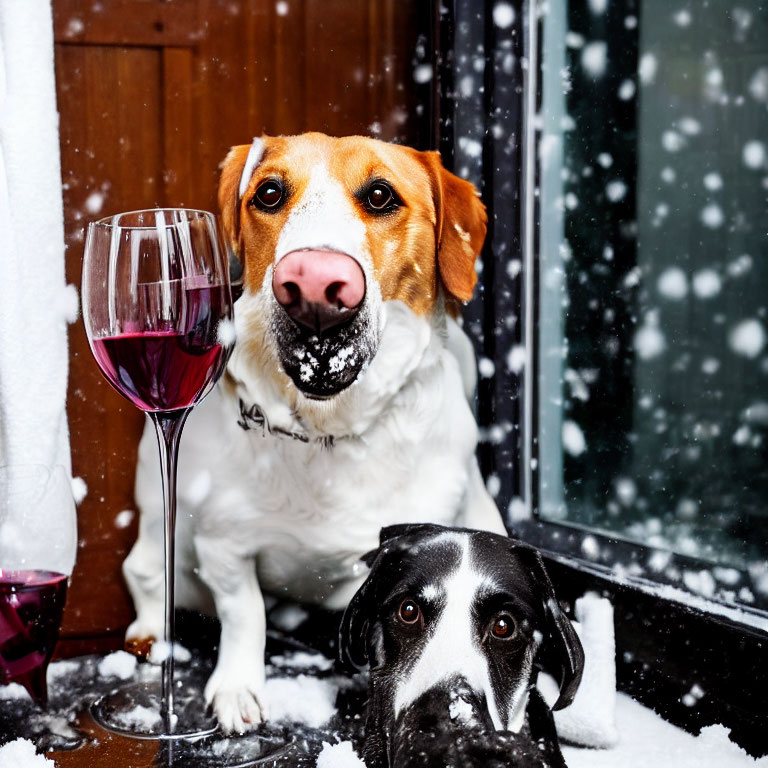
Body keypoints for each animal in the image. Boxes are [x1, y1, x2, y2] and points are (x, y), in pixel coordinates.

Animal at [123, 132, 508, 732]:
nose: (312, 281)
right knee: (145, 575)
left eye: (380, 195)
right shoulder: (223, 546)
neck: (327, 431)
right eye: (269, 193)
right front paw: (236, 689)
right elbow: (245, 613)